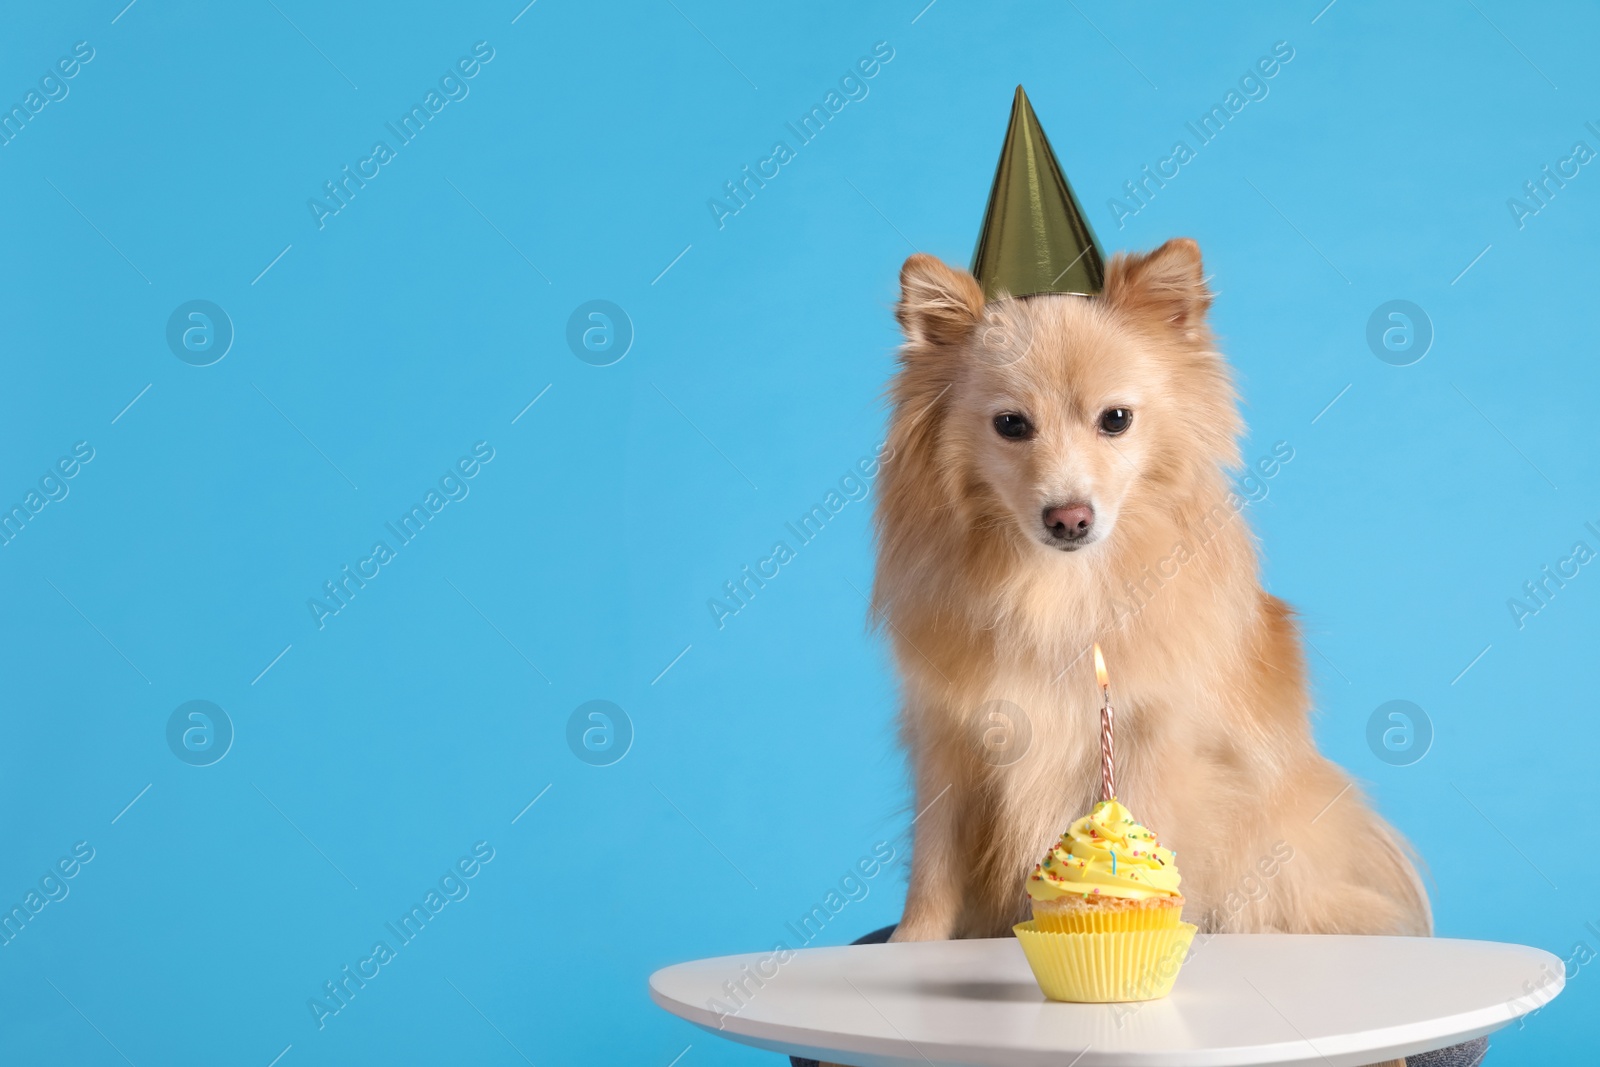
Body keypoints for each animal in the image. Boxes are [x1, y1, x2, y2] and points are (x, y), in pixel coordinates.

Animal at [870, 241, 1433, 966]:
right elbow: (934, 860)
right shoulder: (947, 738)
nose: (1069, 517)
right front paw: (911, 942)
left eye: (1116, 420)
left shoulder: (1157, 740)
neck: (1057, 589)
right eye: (1011, 425)